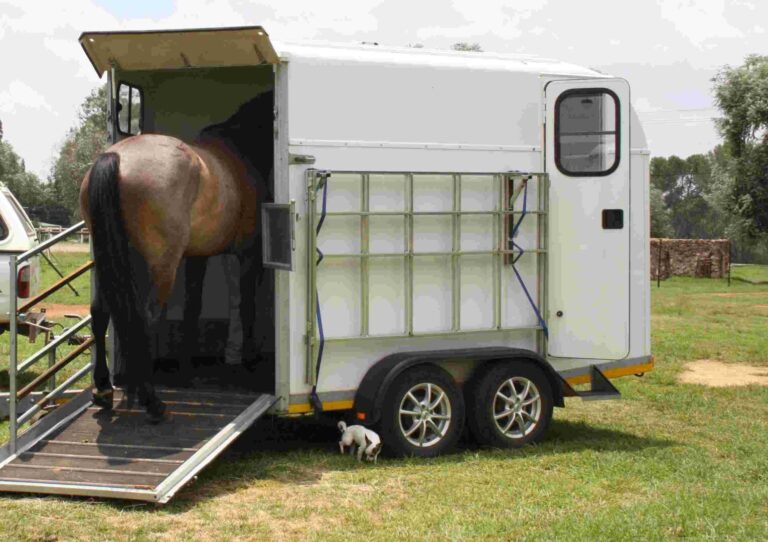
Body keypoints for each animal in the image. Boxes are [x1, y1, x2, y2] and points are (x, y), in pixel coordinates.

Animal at [79, 91, 273, 423]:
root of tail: (116, 157)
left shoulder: (198, 256)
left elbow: (193, 309)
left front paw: (186, 371)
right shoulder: (247, 255)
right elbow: (246, 307)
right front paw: (248, 362)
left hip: (108, 260)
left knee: (100, 312)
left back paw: (103, 390)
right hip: (162, 266)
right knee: (146, 317)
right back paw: (152, 401)